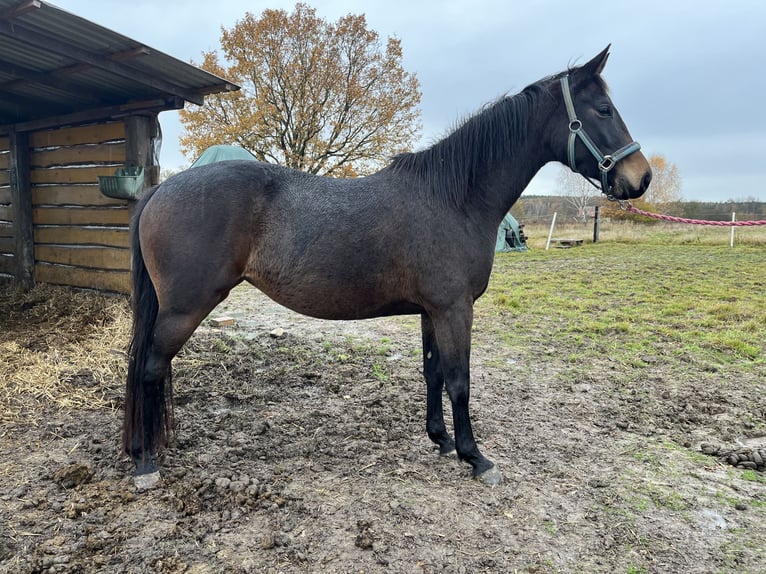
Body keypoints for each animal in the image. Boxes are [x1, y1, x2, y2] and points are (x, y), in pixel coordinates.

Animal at [123, 46, 652, 490]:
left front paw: (441, 440)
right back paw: (146, 463)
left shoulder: (431, 311)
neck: (455, 197)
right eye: (603, 110)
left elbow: (434, 374)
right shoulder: (454, 308)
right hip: (185, 308)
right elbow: (460, 380)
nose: (641, 177)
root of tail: (159, 191)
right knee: (150, 369)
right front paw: (476, 457)